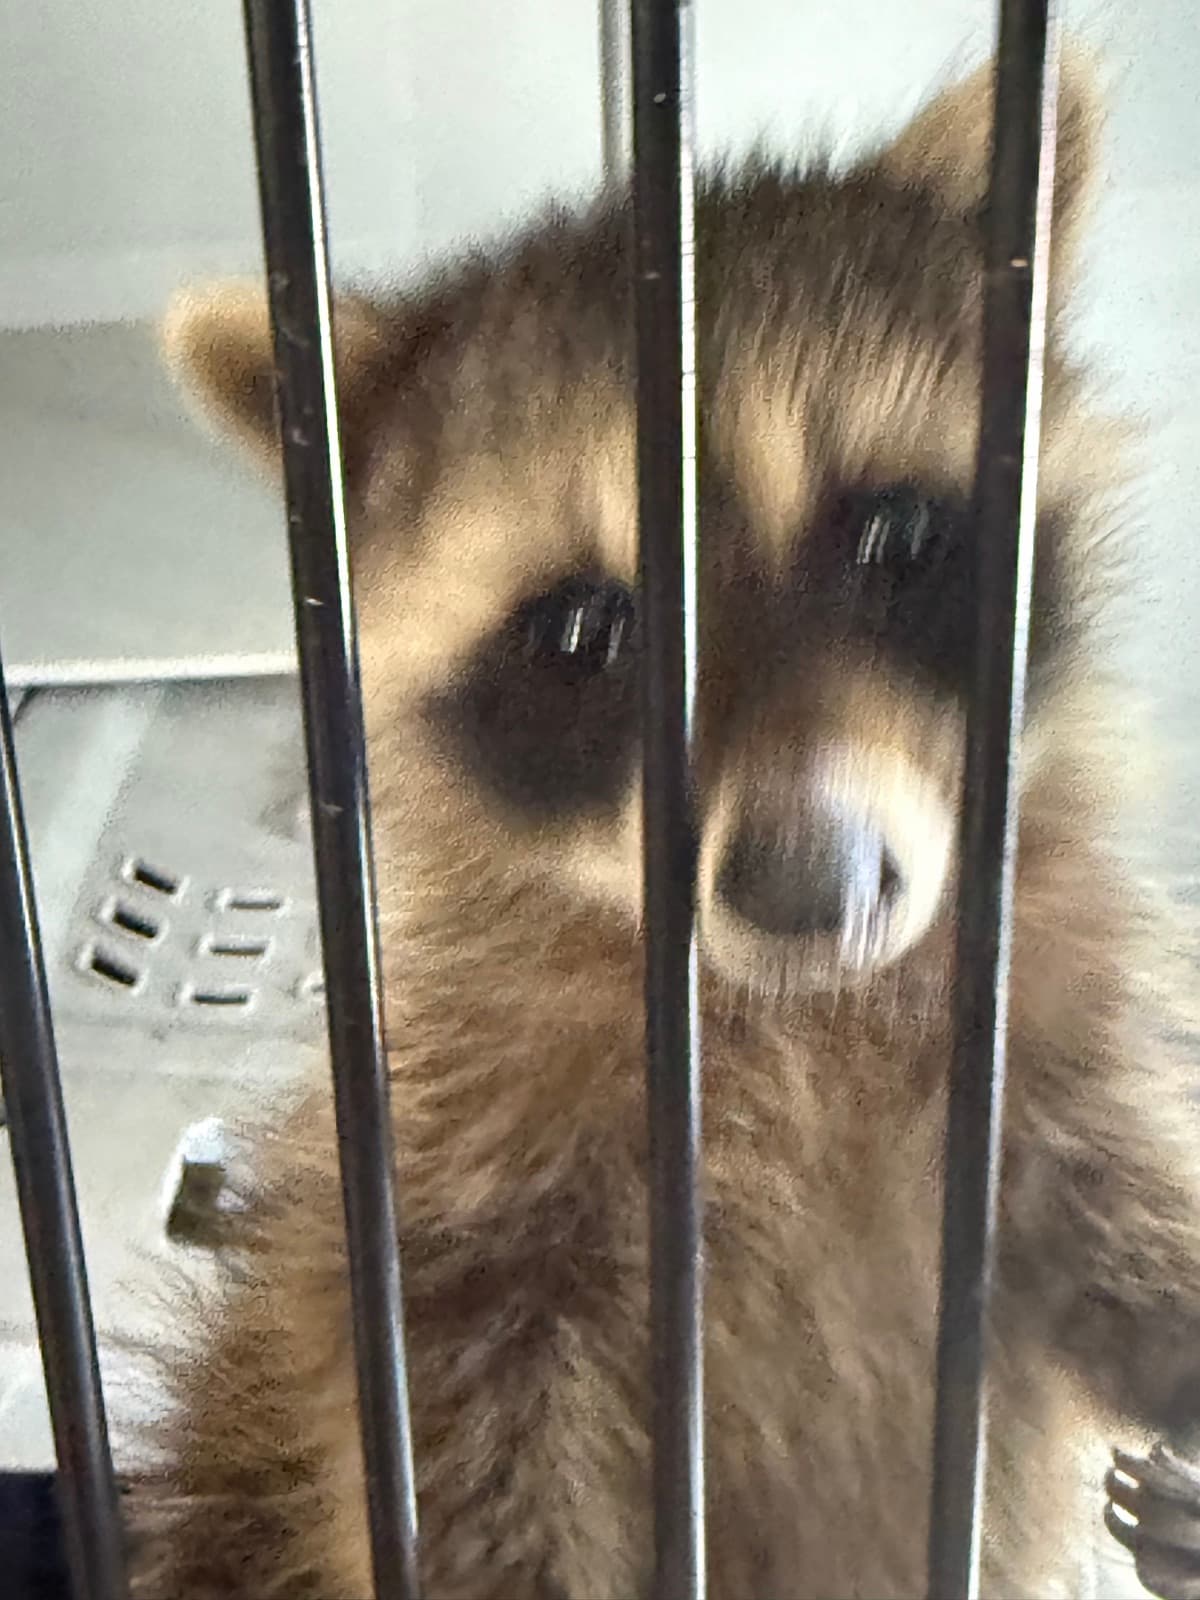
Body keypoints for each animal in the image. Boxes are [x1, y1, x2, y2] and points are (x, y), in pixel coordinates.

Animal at [125, 54, 1200, 1600]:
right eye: (583, 630)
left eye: (893, 538)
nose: (809, 886)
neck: (785, 1010)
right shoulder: (448, 1166)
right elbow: (454, 1406)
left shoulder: (1053, 1011)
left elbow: (1111, 1205)